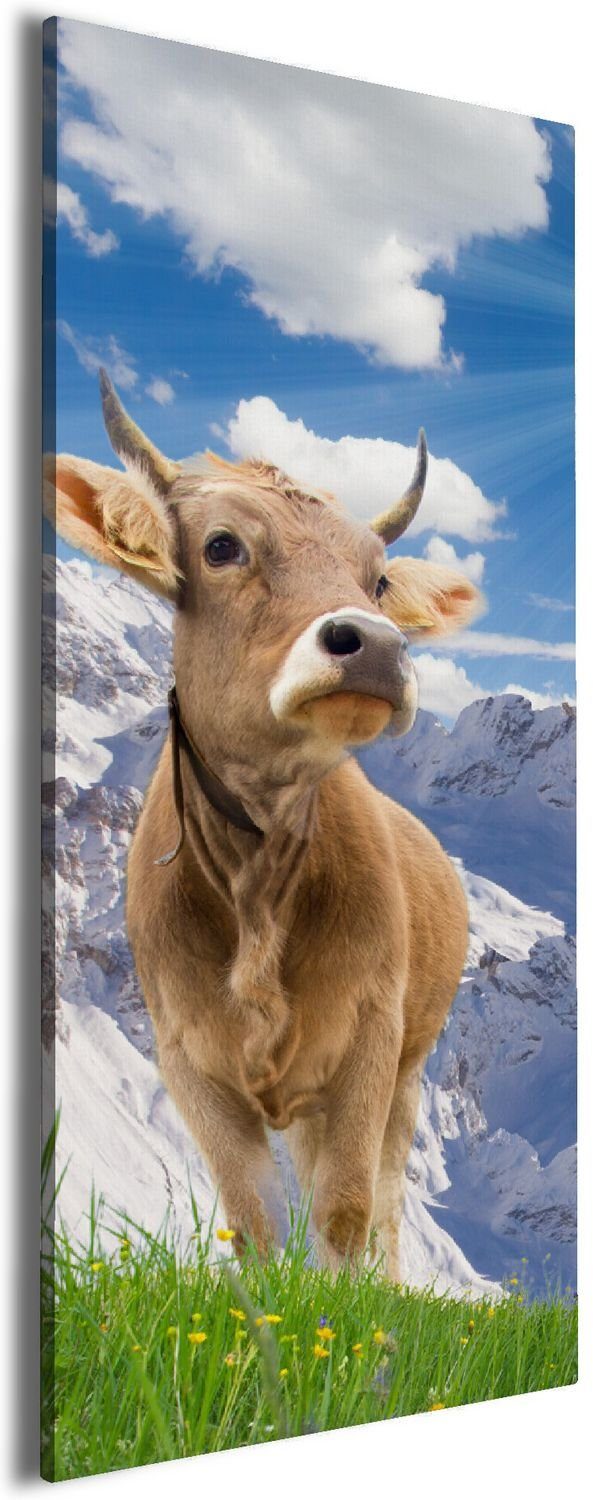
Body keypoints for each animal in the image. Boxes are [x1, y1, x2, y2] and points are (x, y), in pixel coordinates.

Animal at [46, 370, 481, 1280]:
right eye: (221, 547)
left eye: (377, 581)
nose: (375, 646)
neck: (258, 882)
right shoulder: (189, 1062)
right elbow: (254, 1220)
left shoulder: (369, 1039)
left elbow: (347, 1212)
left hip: (408, 1067)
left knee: (384, 1199)